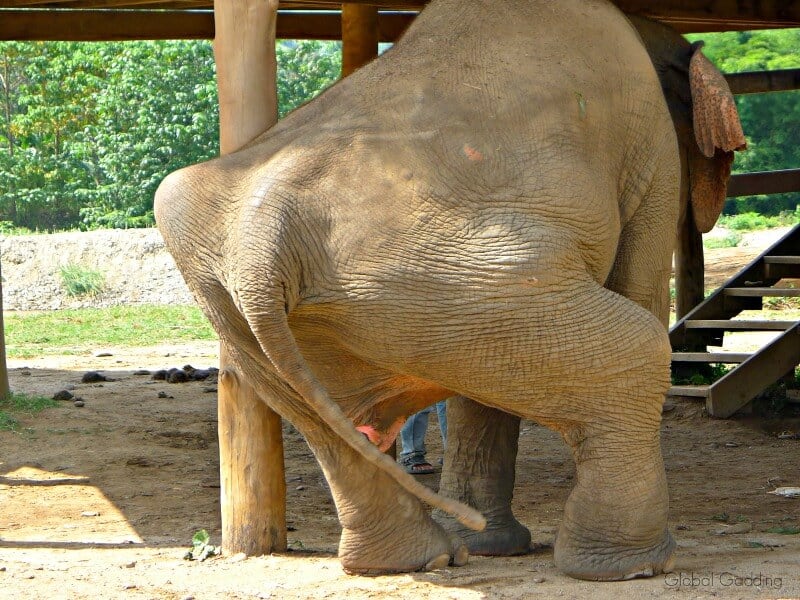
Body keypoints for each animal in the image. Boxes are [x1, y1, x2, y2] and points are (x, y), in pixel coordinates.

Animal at [155, 0, 745, 581]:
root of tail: (266, 235)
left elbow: (478, 393)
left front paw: (490, 547)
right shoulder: (652, 154)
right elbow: (639, 286)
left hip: (269, 299)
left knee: (328, 430)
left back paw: (424, 559)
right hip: (455, 275)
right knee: (637, 353)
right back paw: (639, 566)